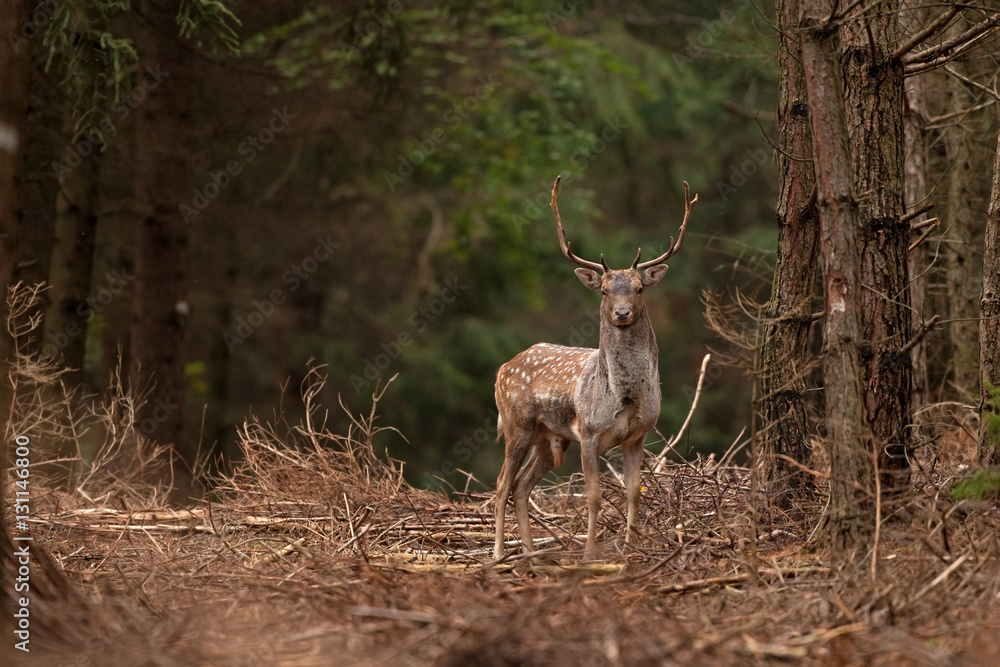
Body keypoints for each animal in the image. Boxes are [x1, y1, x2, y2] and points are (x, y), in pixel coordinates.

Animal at [494, 176, 697, 561]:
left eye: (638, 288)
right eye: (603, 291)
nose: (622, 313)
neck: (623, 397)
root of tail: (502, 368)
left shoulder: (638, 434)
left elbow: (634, 491)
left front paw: (632, 546)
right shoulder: (588, 432)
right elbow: (593, 496)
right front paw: (590, 553)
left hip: (549, 437)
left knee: (522, 487)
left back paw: (528, 553)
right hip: (516, 424)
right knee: (501, 486)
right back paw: (499, 554)